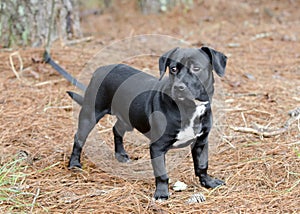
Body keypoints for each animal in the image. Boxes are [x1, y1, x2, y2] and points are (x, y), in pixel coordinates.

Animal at [44, 46, 227, 200]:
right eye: (173, 69)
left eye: (196, 68)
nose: (179, 87)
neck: (189, 108)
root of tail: (100, 69)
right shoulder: (157, 146)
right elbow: (162, 173)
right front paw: (161, 194)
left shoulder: (201, 142)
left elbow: (202, 165)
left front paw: (208, 182)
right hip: (90, 114)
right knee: (79, 138)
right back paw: (74, 163)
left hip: (127, 118)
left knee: (116, 129)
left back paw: (121, 155)